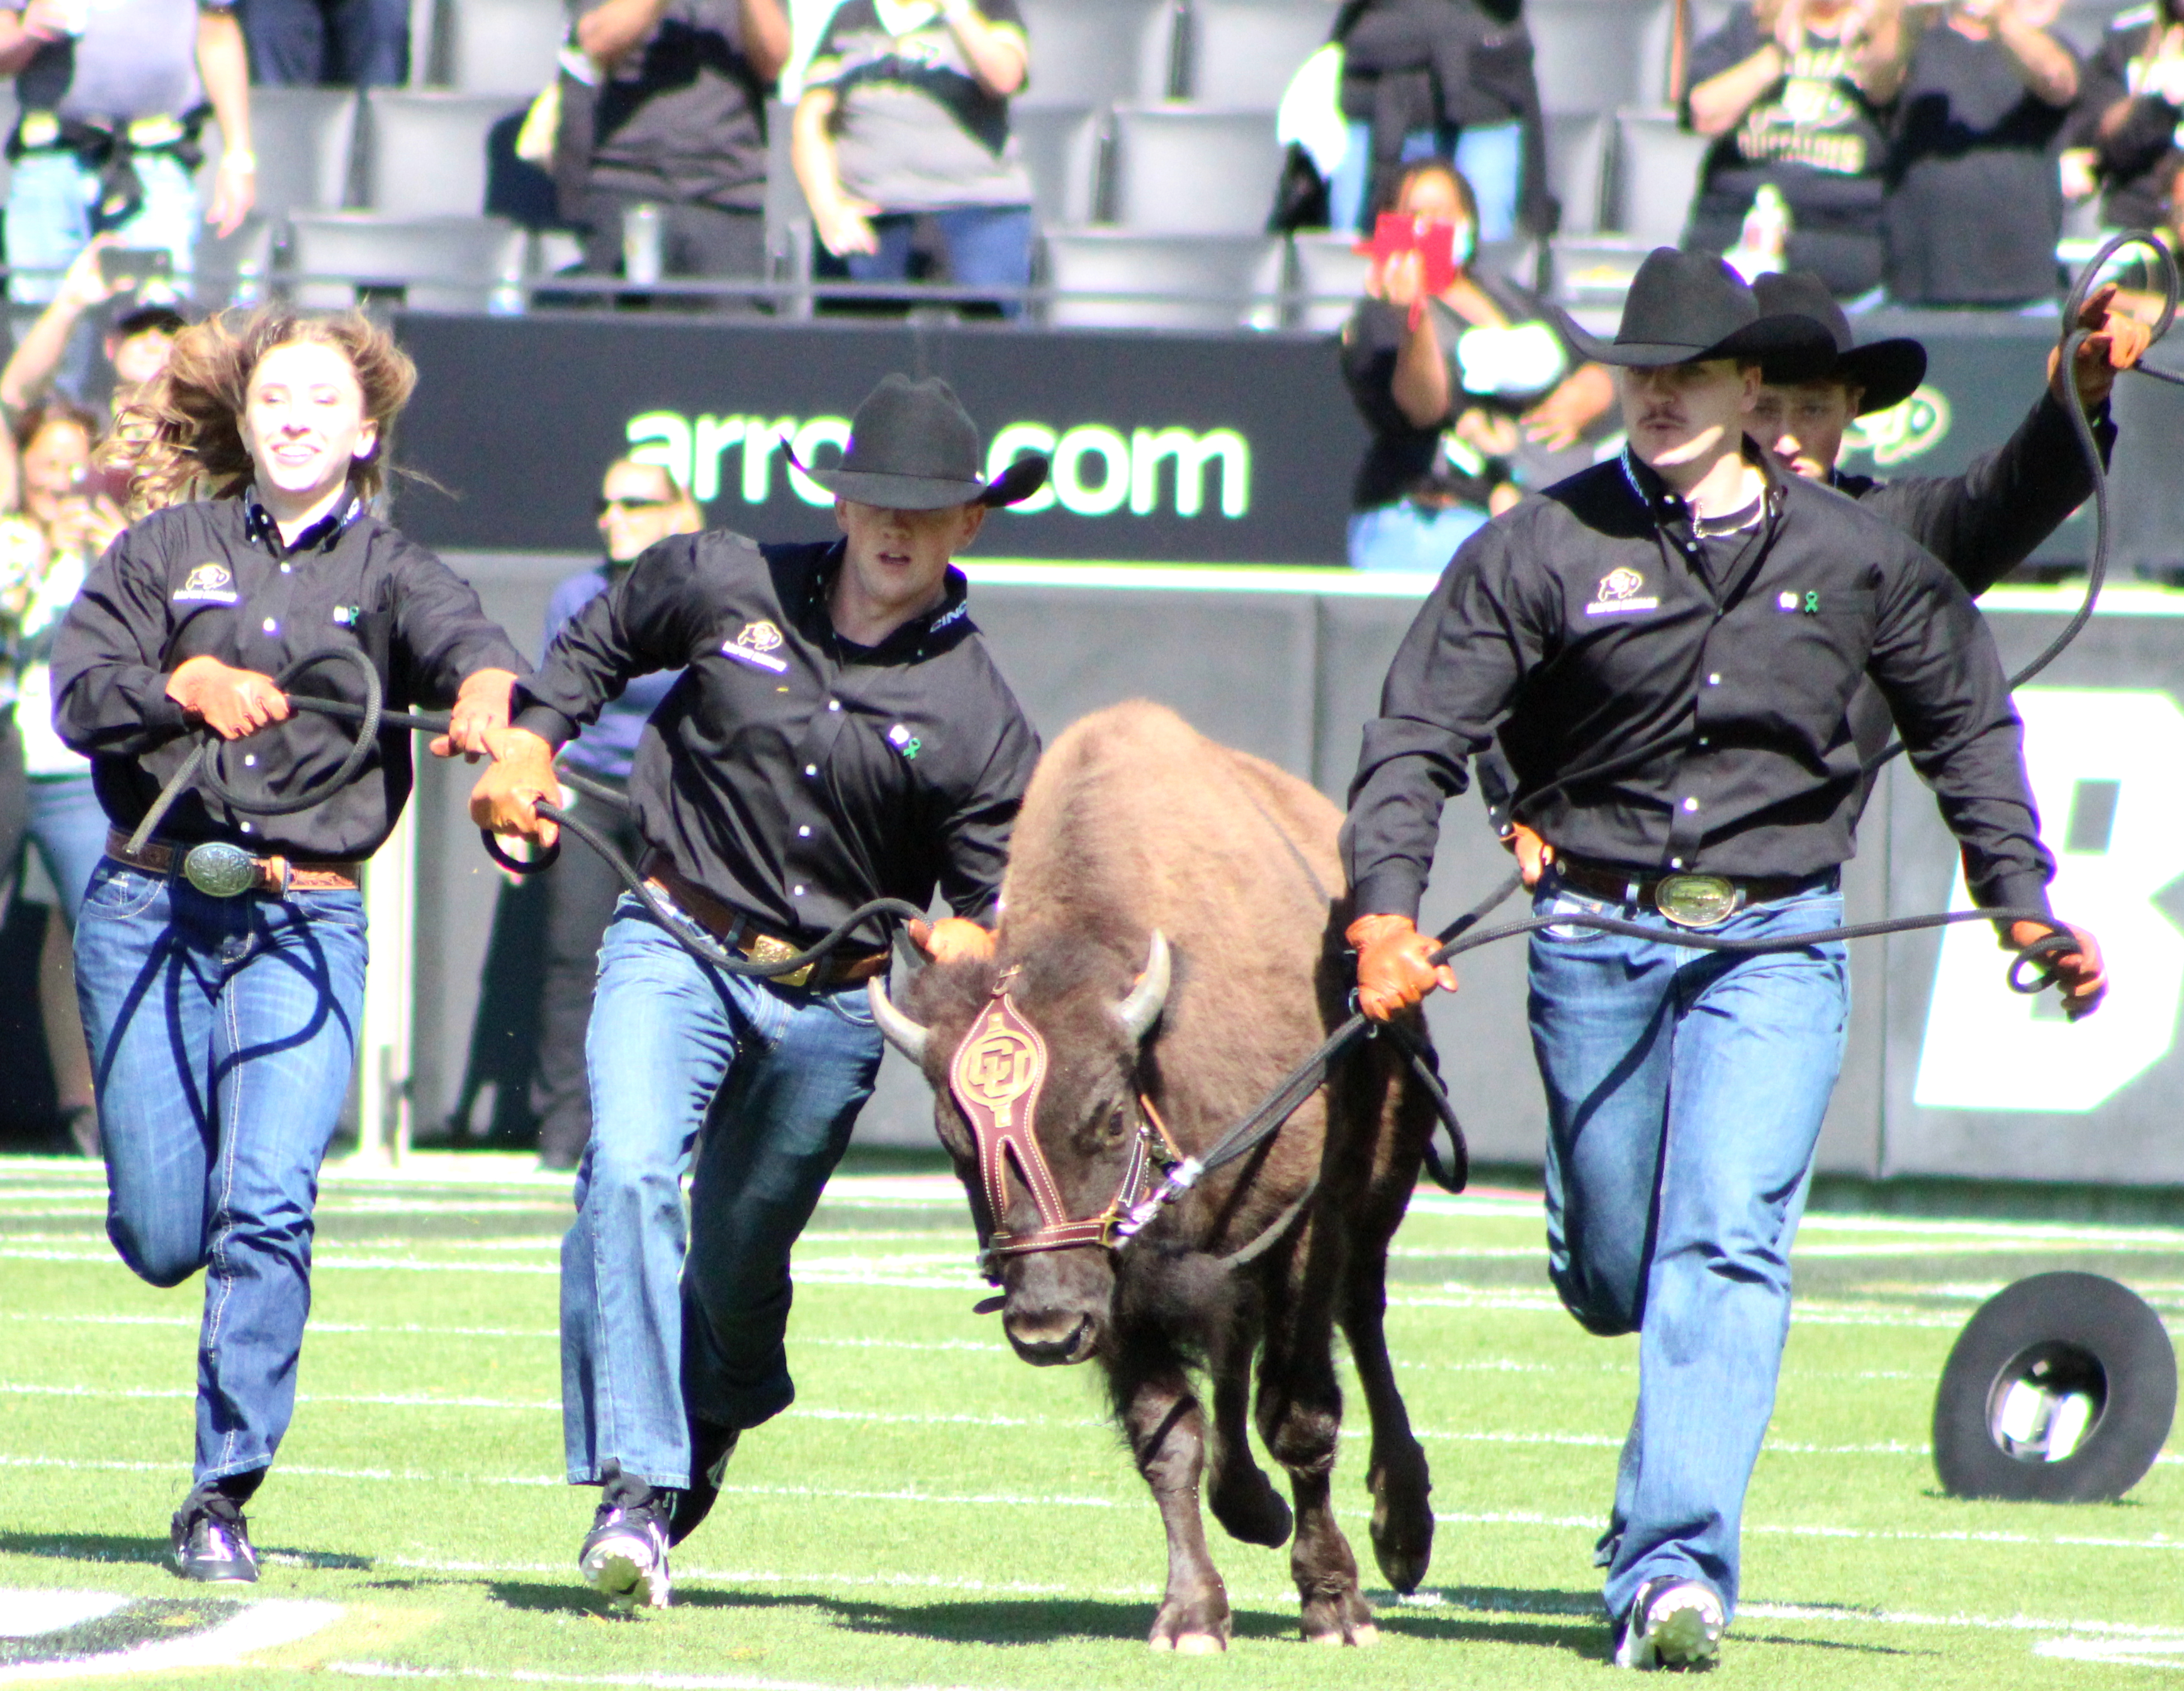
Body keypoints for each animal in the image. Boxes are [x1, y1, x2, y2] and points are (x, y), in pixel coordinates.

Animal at [869, 703, 1450, 1651]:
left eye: (1108, 1115)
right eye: (954, 1140)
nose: (1043, 1331)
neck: (1159, 1053)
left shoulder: (1298, 1223)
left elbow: (1300, 1413)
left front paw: (1334, 1604)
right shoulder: (1119, 1286)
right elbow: (1166, 1434)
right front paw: (1191, 1615)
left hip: (1372, 1191)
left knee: (1360, 1315)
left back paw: (1400, 1527)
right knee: (1234, 1350)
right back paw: (1248, 1503)